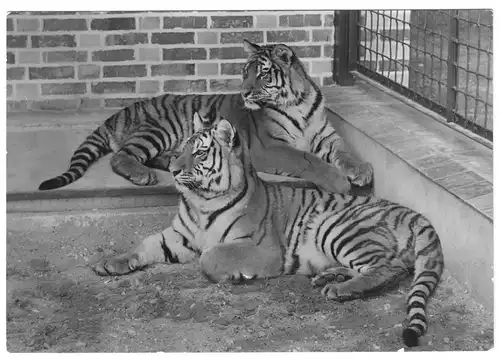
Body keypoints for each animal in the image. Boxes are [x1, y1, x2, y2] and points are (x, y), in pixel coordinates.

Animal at [38, 40, 372, 194]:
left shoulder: (326, 137)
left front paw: (362, 169)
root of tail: (124, 110)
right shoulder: (269, 146)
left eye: (262, 74)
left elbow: (344, 151)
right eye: (245, 72)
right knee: (121, 156)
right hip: (159, 129)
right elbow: (306, 160)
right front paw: (339, 181)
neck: (297, 102)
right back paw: (142, 175)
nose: (244, 92)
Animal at [94, 113, 446, 348]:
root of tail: (413, 213)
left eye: (200, 152)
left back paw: (341, 290)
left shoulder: (262, 248)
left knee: (390, 267)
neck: (200, 201)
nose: (173, 168)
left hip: (339, 229)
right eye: (180, 149)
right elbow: (143, 245)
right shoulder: (178, 236)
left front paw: (237, 276)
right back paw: (330, 277)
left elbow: (209, 258)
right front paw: (109, 262)